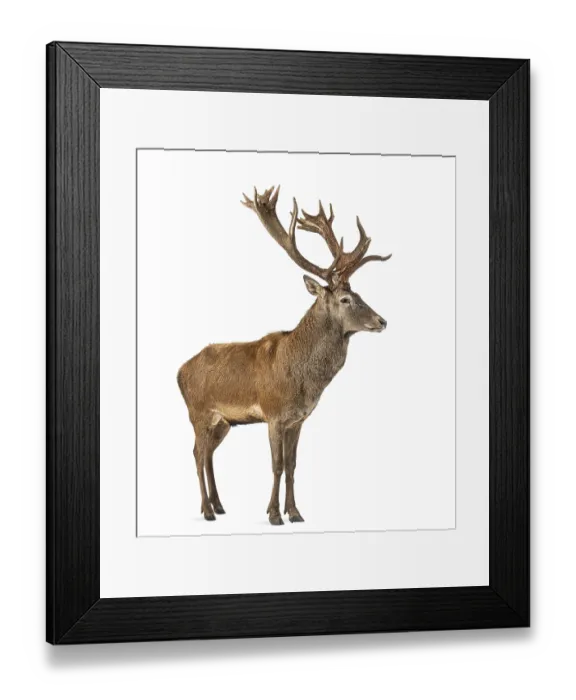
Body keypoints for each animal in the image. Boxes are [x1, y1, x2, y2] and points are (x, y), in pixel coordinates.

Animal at [177, 186, 391, 526]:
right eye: (345, 299)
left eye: (359, 294)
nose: (382, 321)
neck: (302, 378)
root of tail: (178, 371)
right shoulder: (274, 413)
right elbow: (276, 465)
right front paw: (274, 514)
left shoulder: (298, 419)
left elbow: (291, 465)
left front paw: (295, 512)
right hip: (197, 412)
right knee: (197, 453)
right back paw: (207, 511)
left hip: (223, 421)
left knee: (208, 453)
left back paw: (219, 505)